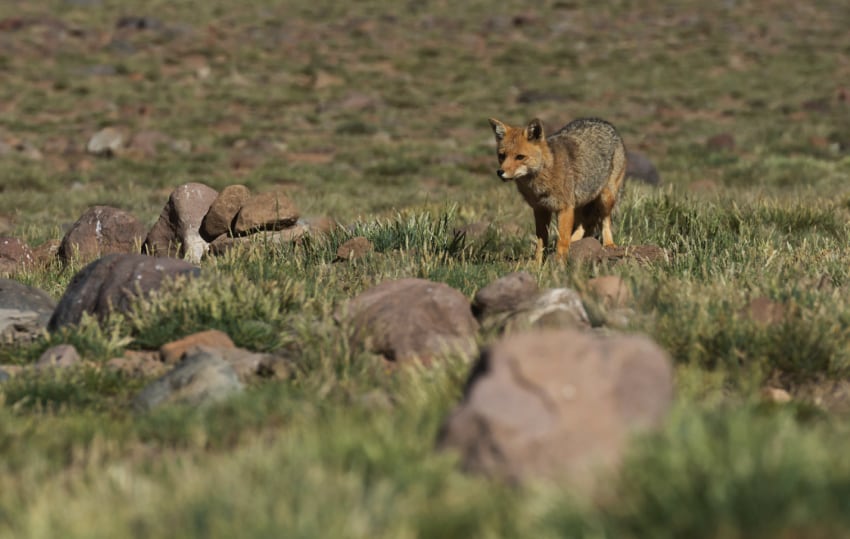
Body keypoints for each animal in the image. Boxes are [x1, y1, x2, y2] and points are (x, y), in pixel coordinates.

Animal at [486, 116, 628, 264]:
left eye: (520, 157)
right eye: (502, 156)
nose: (500, 172)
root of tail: (603, 122)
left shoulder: (565, 208)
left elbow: (562, 241)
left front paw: (559, 264)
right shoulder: (541, 209)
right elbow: (541, 242)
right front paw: (537, 264)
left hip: (605, 198)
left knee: (605, 220)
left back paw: (608, 244)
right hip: (578, 204)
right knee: (584, 224)